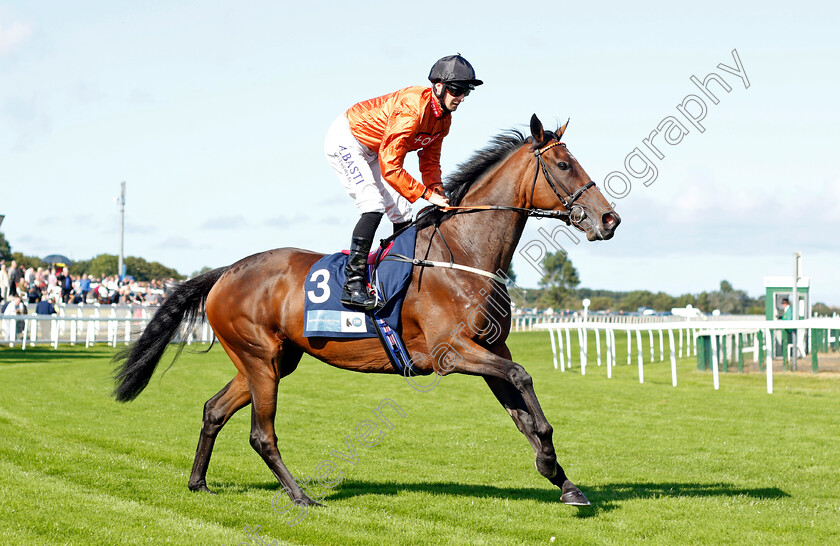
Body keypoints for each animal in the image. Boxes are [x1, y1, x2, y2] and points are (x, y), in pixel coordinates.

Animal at [113, 113, 616, 506]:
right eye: (564, 164)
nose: (609, 218)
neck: (463, 252)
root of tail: (225, 272)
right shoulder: (451, 353)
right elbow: (524, 381)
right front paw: (549, 460)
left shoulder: (493, 348)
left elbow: (522, 411)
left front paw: (564, 481)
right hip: (259, 359)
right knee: (261, 434)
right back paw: (301, 496)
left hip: (270, 360)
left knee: (214, 410)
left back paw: (199, 482)